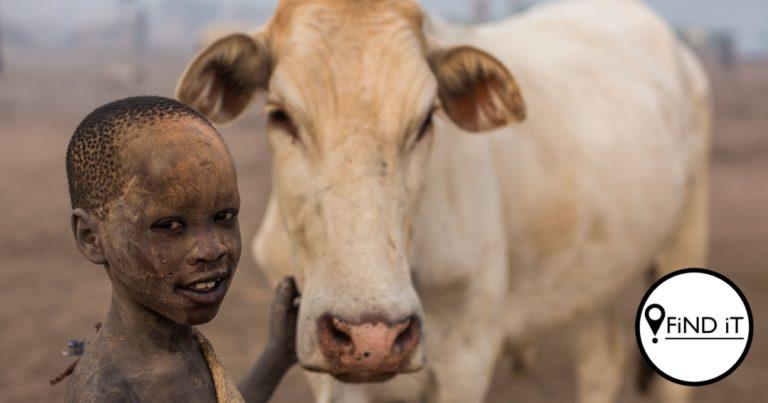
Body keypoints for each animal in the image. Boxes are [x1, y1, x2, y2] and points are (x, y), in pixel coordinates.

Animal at [176, 0, 711, 402]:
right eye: (280, 115)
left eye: (427, 119)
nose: (373, 338)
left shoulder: (468, 357)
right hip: (596, 283)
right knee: (601, 363)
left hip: (684, 240)